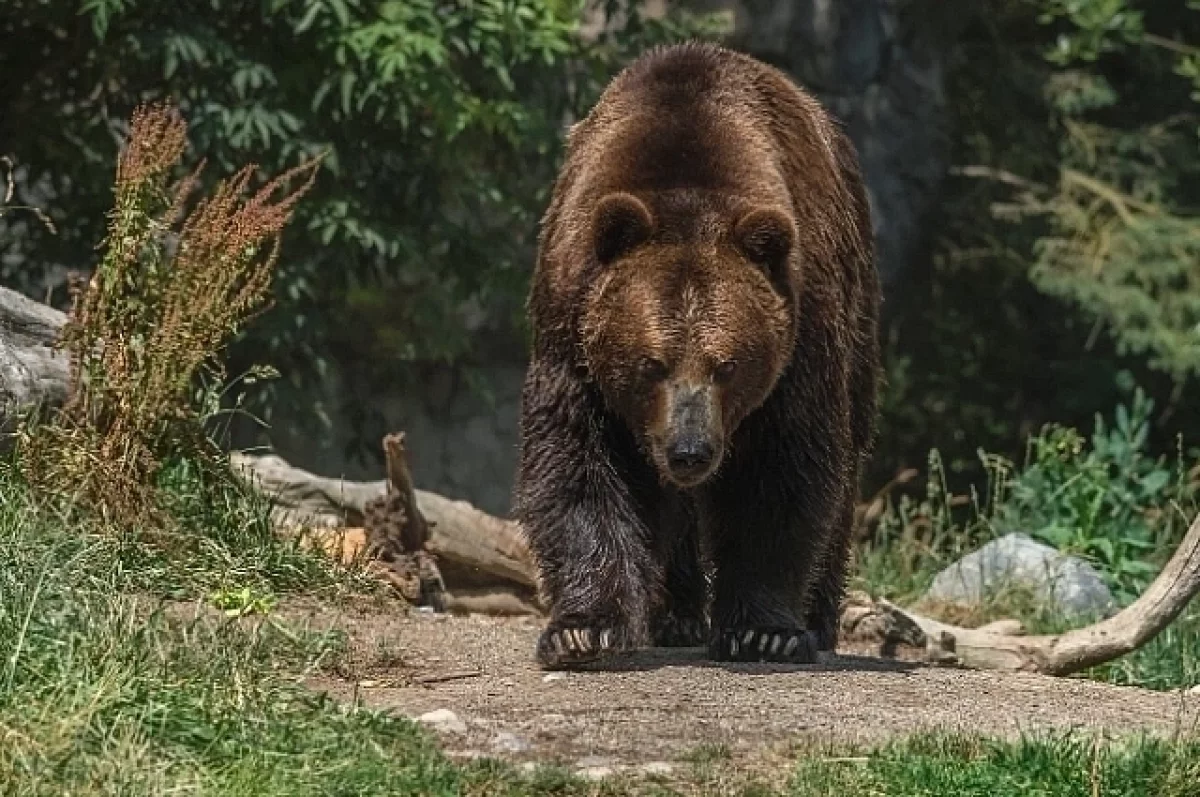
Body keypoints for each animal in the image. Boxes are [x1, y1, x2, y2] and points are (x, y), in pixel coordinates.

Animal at [514, 41, 881, 669]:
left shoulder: (801, 335)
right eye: (651, 363)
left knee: (846, 461)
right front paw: (584, 629)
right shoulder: (572, 323)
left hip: (858, 316)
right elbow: (577, 460)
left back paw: (815, 620)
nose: (690, 451)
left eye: (727, 365)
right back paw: (676, 614)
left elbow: (783, 470)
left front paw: (764, 631)